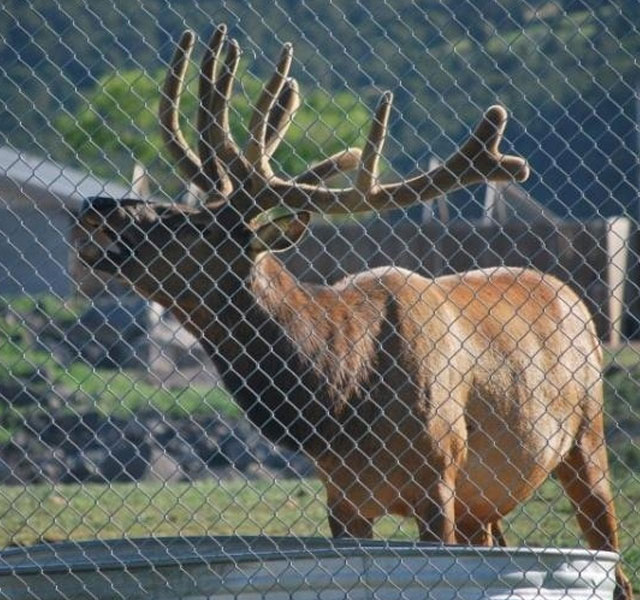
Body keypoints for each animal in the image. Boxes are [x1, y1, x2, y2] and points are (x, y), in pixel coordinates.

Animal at [77, 24, 632, 600]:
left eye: (197, 225)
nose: (99, 204)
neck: (341, 393)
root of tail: (571, 296)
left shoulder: (440, 474)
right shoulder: (342, 497)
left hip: (586, 439)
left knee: (615, 562)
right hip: (487, 499)